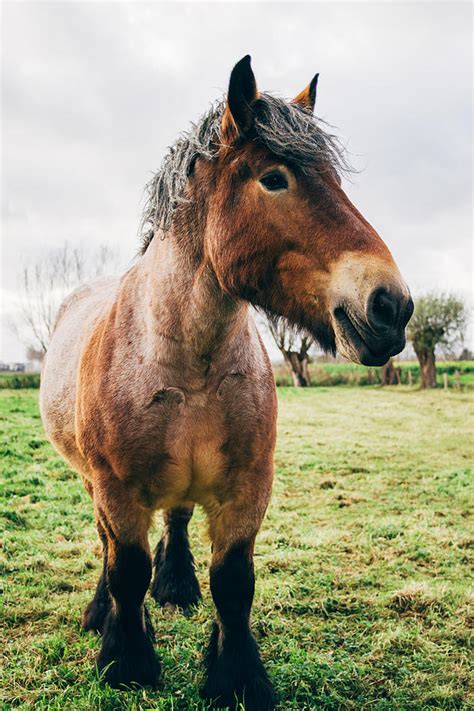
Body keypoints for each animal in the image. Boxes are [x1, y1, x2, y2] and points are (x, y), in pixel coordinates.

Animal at [39, 57, 412, 711]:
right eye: (274, 178)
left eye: (335, 179)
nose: (391, 306)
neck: (187, 362)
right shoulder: (116, 489)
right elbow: (126, 569)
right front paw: (126, 662)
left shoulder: (247, 485)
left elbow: (233, 583)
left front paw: (236, 678)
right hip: (91, 483)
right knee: (107, 546)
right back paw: (103, 612)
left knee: (177, 521)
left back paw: (176, 587)